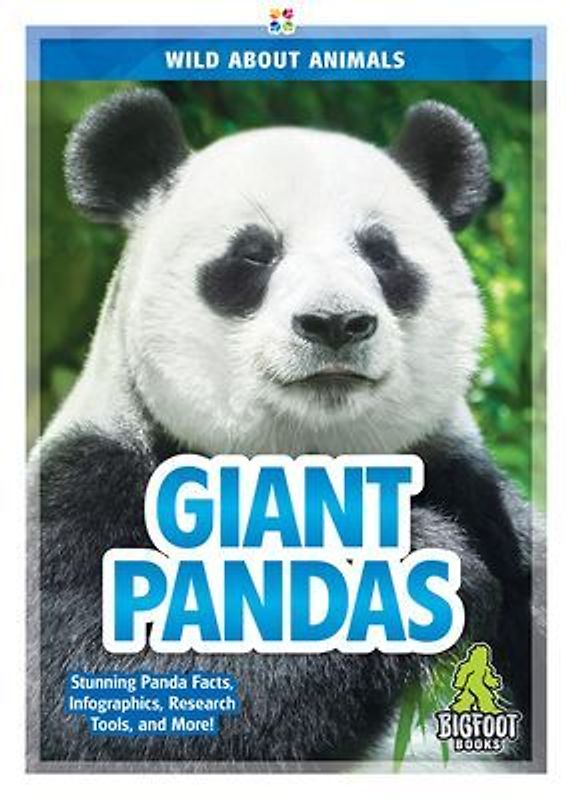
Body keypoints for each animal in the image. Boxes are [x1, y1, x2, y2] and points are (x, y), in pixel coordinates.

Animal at [28, 89, 537, 768]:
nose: (336, 323)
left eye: (381, 254)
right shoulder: (86, 490)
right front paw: (408, 564)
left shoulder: (475, 493)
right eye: (254, 253)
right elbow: (110, 695)